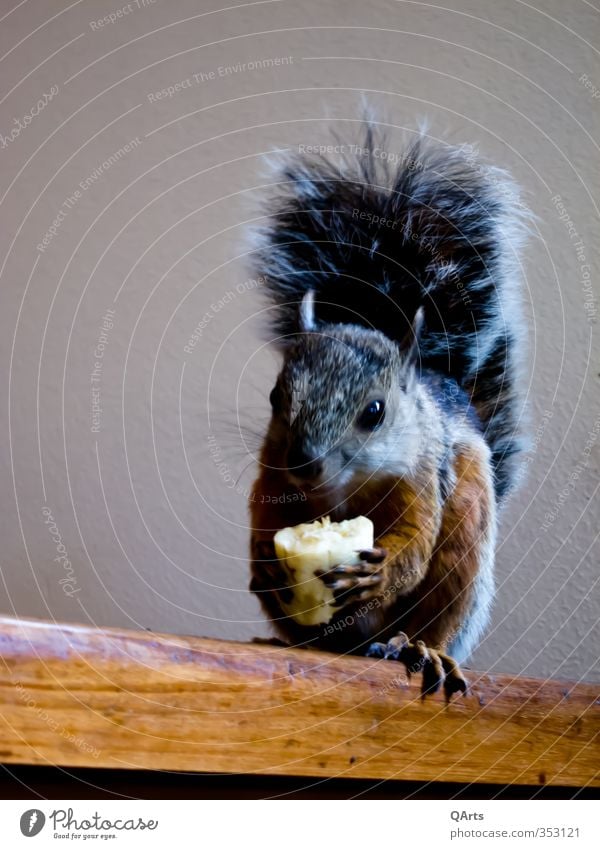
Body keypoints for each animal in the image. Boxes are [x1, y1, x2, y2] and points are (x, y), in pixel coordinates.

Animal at [248, 124, 528, 696]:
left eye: (375, 412)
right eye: (275, 397)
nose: (305, 464)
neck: (340, 490)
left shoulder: (421, 476)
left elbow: (415, 547)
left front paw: (378, 573)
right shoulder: (271, 470)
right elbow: (265, 518)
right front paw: (265, 561)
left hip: (465, 536)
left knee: (438, 616)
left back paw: (421, 649)